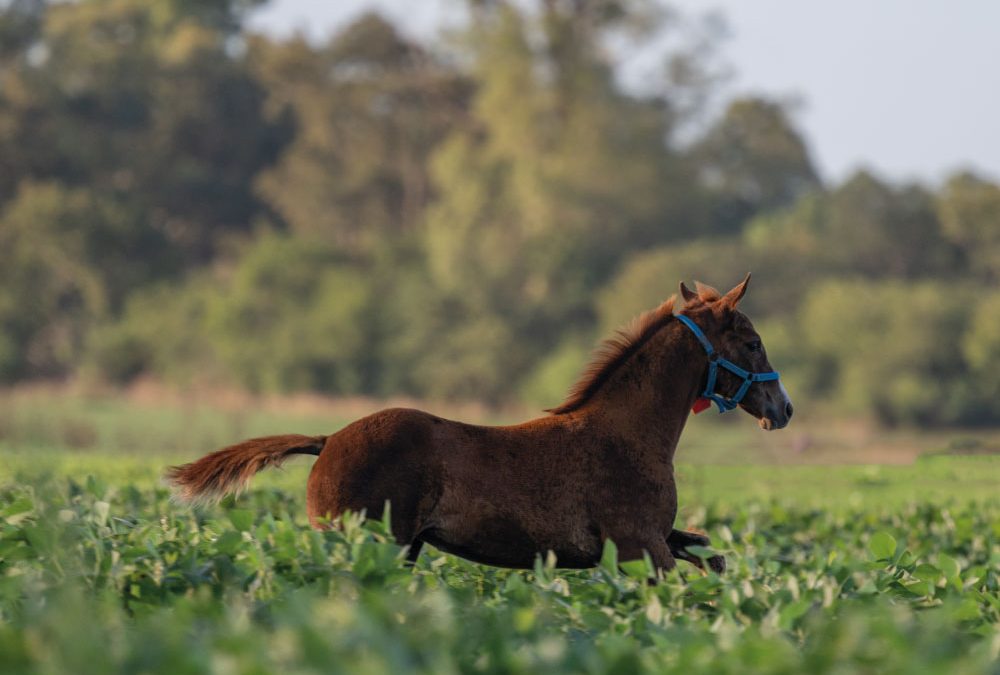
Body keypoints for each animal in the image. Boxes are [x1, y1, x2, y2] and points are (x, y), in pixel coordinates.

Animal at [166, 274, 788, 576]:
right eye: (752, 341)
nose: (783, 409)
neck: (628, 436)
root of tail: (328, 440)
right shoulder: (639, 547)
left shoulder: (652, 542)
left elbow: (709, 554)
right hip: (369, 543)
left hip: (398, 549)